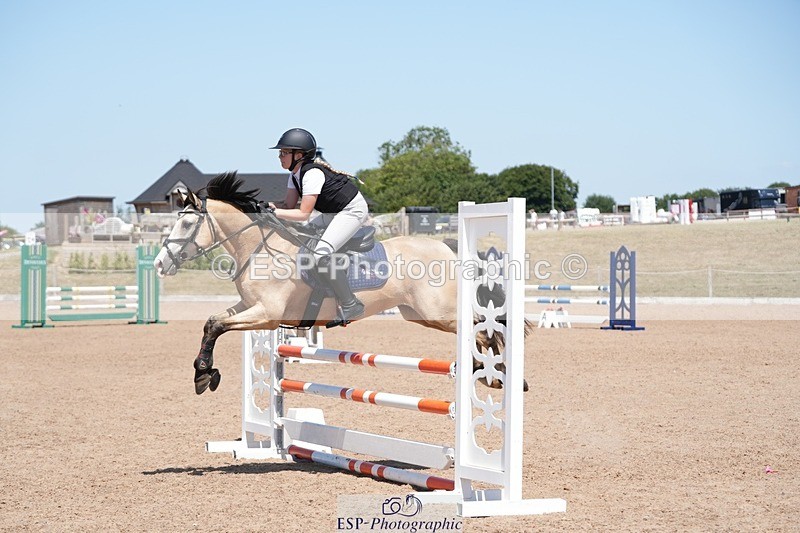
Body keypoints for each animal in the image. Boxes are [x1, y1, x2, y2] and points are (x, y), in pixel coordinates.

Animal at [154, 172, 529, 394]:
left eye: (186, 225)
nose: (160, 264)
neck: (259, 248)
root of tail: (446, 246)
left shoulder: (267, 315)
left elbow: (217, 325)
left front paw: (204, 373)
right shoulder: (249, 307)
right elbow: (212, 323)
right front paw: (204, 373)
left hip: (439, 311)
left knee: (483, 328)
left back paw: (500, 374)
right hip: (419, 314)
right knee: (479, 329)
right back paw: (490, 372)